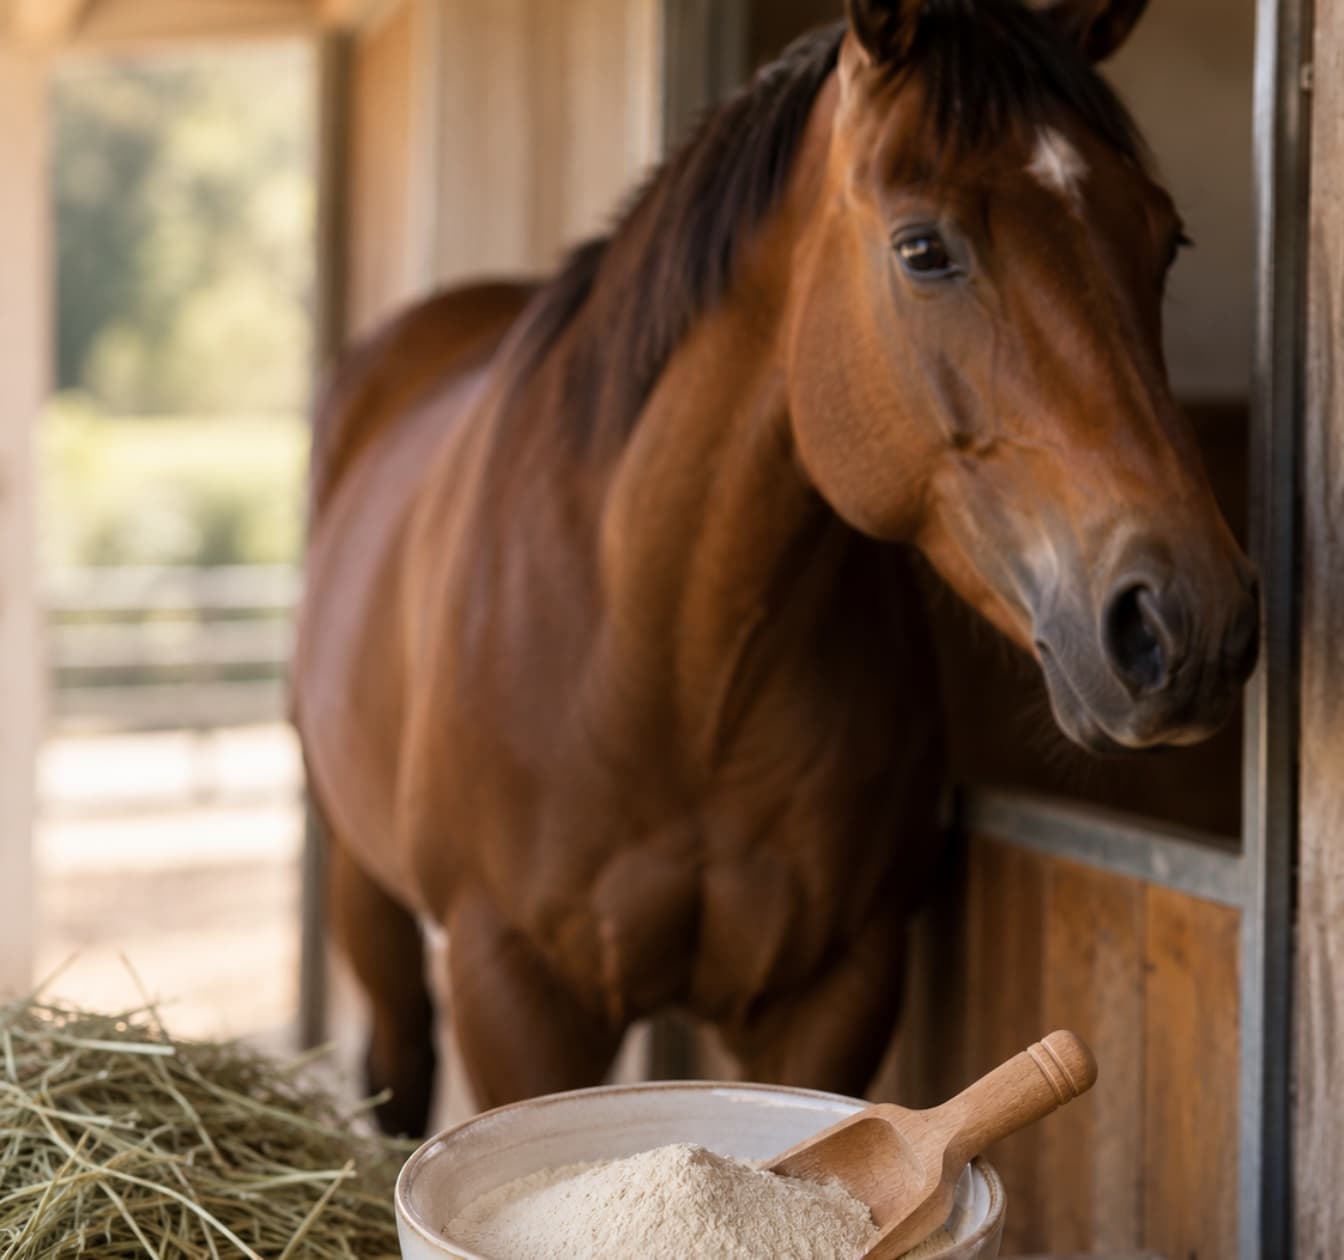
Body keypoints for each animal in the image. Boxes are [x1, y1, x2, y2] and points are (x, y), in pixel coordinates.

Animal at [294, 0, 1260, 1137]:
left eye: (1164, 239)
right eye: (923, 248)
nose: (1190, 623)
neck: (669, 659)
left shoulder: (837, 985)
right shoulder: (515, 989)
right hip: (365, 884)